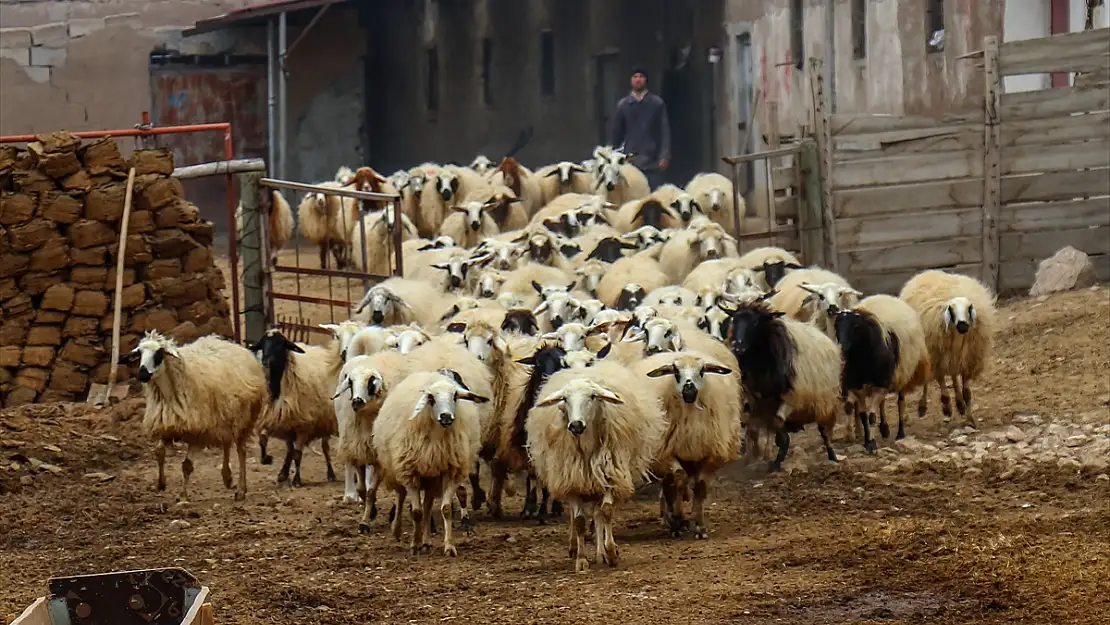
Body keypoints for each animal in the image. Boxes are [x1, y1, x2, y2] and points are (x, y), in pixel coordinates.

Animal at [127, 333, 267, 503]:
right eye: (140, 353)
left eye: (159, 353)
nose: (142, 374)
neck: (168, 395)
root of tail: (234, 345)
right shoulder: (167, 426)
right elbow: (159, 453)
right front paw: (161, 484)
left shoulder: (197, 433)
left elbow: (187, 465)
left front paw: (183, 496)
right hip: (224, 415)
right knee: (226, 443)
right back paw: (227, 477)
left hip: (244, 419)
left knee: (241, 451)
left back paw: (241, 490)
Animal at [523, 361, 661, 572]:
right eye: (565, 399)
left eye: (592, 396)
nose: (576, 425)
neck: (586, 446)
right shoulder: (572, 481)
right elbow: (579, 521)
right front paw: (581, 560)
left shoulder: (608, 476)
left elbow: (605, 512)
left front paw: (610, 552)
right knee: (575, 516)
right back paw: (574, 547)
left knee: (597, 514)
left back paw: (600, 552)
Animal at [901, 271, 999, 428]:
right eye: (951, 310)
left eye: (969, 308)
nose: (963, 326)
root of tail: (928, 272)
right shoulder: (938, 358)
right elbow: (942, 385)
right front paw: (947, 408)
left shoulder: (967, 360)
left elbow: (967, 392)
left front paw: (970, 418)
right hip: (930, 353)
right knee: (930, 379)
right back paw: (924, 406)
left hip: (953, 357)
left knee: (953, 375)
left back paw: (960, 405)